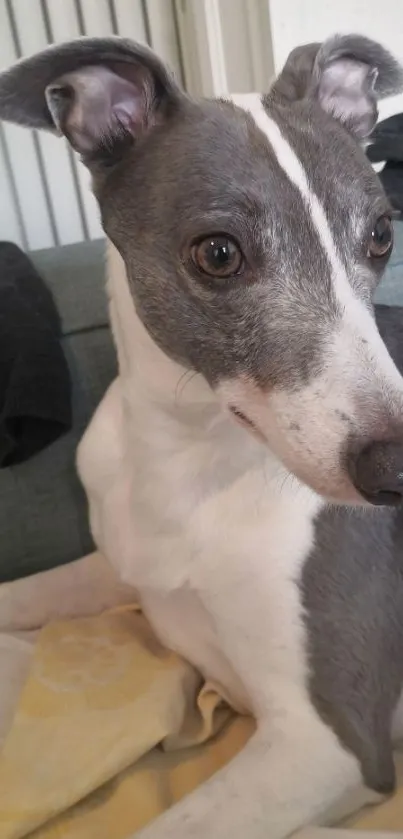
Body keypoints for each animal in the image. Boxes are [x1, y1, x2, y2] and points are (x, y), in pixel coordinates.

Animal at [2, 32, 403, 839]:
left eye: (380, 234)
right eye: (218, 253)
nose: (400, 468)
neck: (182, 460)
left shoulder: (330, 743)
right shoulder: (118, 565)